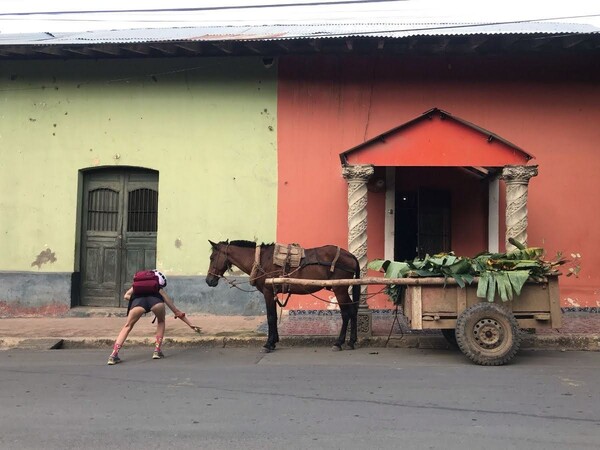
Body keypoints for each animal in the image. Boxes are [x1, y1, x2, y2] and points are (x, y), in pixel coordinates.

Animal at [205, 239, 360, 352]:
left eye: (212, 257)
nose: (209, 281)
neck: (261, 260)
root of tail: (350, 255)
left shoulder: (268, 292)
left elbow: (270, 317)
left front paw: (268, 344)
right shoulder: (272, 292)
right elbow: (273, 316)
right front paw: (274, 341)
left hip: (339, 288)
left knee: (346, 313)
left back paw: (339, 343)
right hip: (343, 288)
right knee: (353, 311)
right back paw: (351, 341)